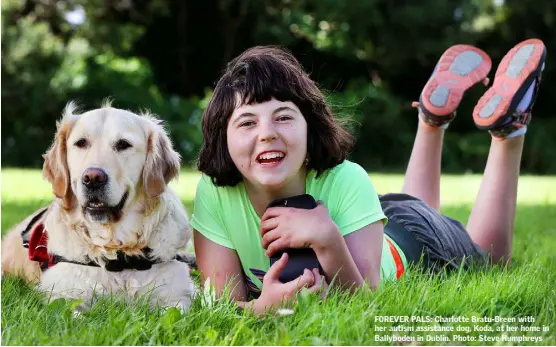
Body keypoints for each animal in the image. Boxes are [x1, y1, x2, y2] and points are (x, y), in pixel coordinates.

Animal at [1, 101, 195, 312]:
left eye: (123, 144)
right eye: (81, 142)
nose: (93, 178)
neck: (117, 252)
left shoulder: (176, 296)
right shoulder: (64, 296)